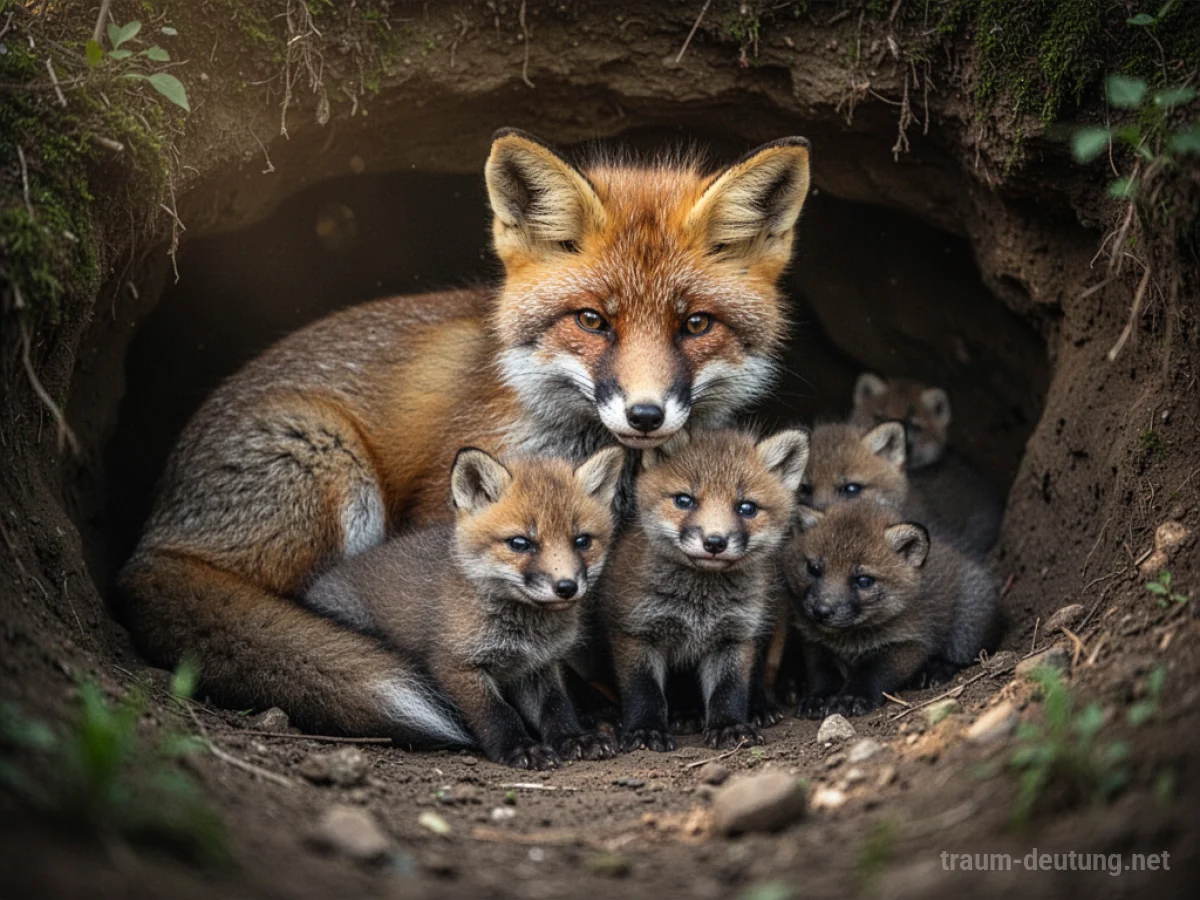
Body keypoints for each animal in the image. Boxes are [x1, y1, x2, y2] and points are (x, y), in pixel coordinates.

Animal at [303, 446, 625, 768]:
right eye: (520, 543)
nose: (566, 587)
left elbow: (556, 708)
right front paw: (520, 748)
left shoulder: (537, 667)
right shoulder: (457, 665)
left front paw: (575, 738)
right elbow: (498, 714)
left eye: (582, 541)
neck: (525, 632)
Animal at [598, 428, 809, 752]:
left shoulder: (735, 636)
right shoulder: (635, 632)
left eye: (746, 508)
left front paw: (729, 726)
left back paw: (758, 707)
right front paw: (645, 731)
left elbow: (729, 690)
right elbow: (644, 692)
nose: (715, 542)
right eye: (684, 500)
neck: (700, 605)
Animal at [780, 502, 1001, 719]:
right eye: (813, 569)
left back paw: (935, 671)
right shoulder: (815, 645)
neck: (849, 641)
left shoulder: (908, 642)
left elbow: (874, 674)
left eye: (864, 580)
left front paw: (851, 697)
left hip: (967, 624)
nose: (821, 611)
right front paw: (818, 698)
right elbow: (822, 676)